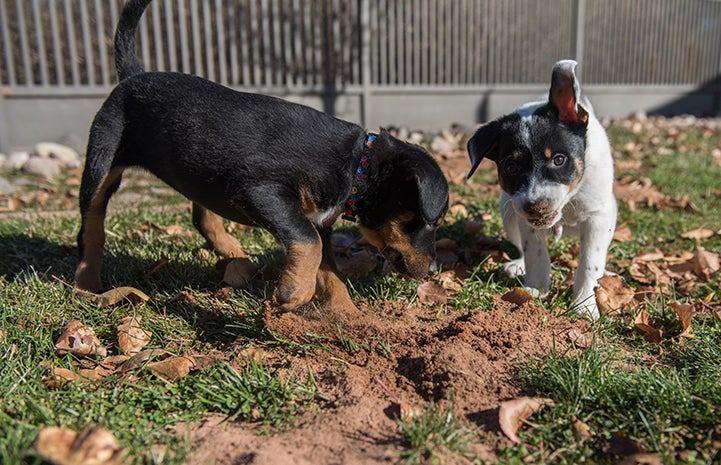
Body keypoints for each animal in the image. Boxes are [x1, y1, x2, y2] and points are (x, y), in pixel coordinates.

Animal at [73, 0, 444, 316]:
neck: (356, 165)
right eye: (433, 221)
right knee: (91, 227)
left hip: (198, 171)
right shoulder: (263, 191)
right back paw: (86, 284)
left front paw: (350, 318)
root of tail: (132, 75)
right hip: (102, 162)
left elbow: (329, 271)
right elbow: (308, 244)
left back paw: (231, 250)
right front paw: (294, 293)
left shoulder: (317, 222)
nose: (432, 271)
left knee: (202, 214)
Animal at [466, 59, 612, 320]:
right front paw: (535, 289)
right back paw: (517, 265)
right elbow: (535, 252)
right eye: (511, 167)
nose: (536, 207)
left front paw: (585, 305)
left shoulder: (599, 217)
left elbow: (590, 262)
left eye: (559, 160)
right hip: (508, 213)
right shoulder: (524, 216)